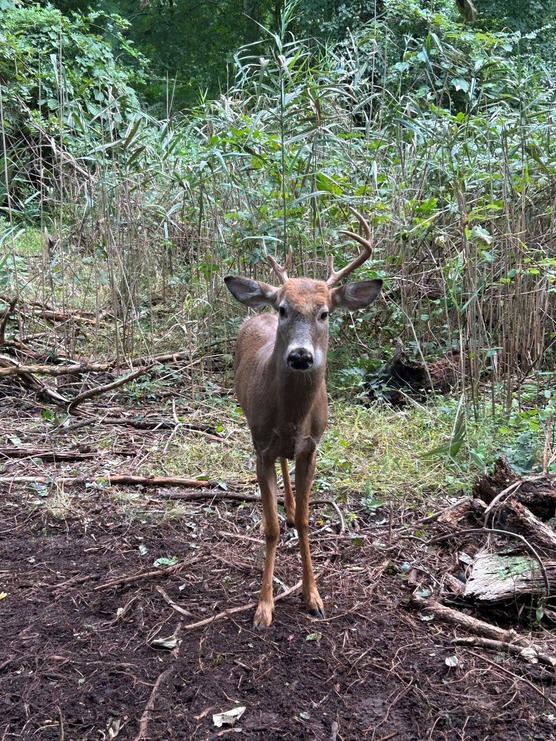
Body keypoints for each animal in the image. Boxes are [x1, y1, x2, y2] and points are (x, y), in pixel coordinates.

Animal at [224, 208, 382, 628]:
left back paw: (293, 505)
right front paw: (264, 607)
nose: (299, 355)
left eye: (325, 312)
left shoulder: (312, 448)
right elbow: (270, 529)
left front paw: (313, 597)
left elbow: (308, 522)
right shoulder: (260, 446)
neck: (293, 414)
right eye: (284, 309)